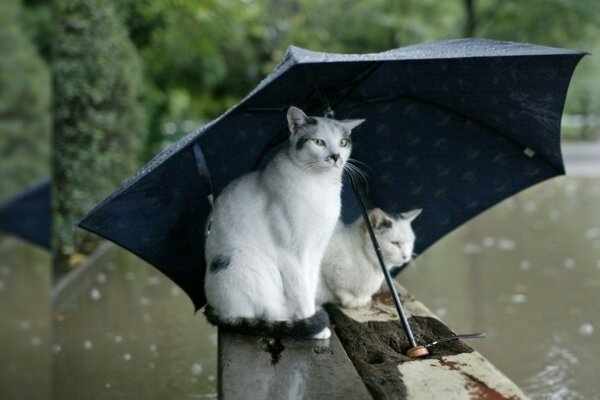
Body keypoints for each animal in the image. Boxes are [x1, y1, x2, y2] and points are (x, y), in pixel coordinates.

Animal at [204, 105, 366, 338]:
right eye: (319, 142)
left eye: (343, 143)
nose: (336, 156)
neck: (320, 186)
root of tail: (217, 310)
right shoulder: (292, 255)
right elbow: (301, 292)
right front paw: (314, 326)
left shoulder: (316, 252)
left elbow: (310, 285)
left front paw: (311, 315)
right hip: (250, 264)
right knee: (267, 313)